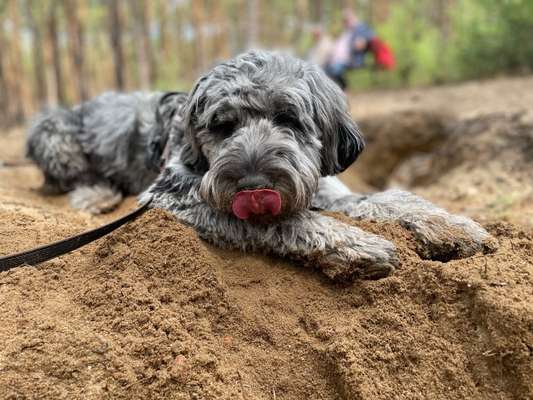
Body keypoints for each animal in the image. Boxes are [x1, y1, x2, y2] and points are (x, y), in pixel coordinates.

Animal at [26, 50, 494, 282]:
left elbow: (387, 198)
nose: (252, 183)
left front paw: (450, 226)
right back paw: (95, 193)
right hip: (53, 132)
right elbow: (283, 222)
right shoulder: (174, 196)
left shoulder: (323, 188)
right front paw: (355, 246)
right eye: (222, 125)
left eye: (289, 118)